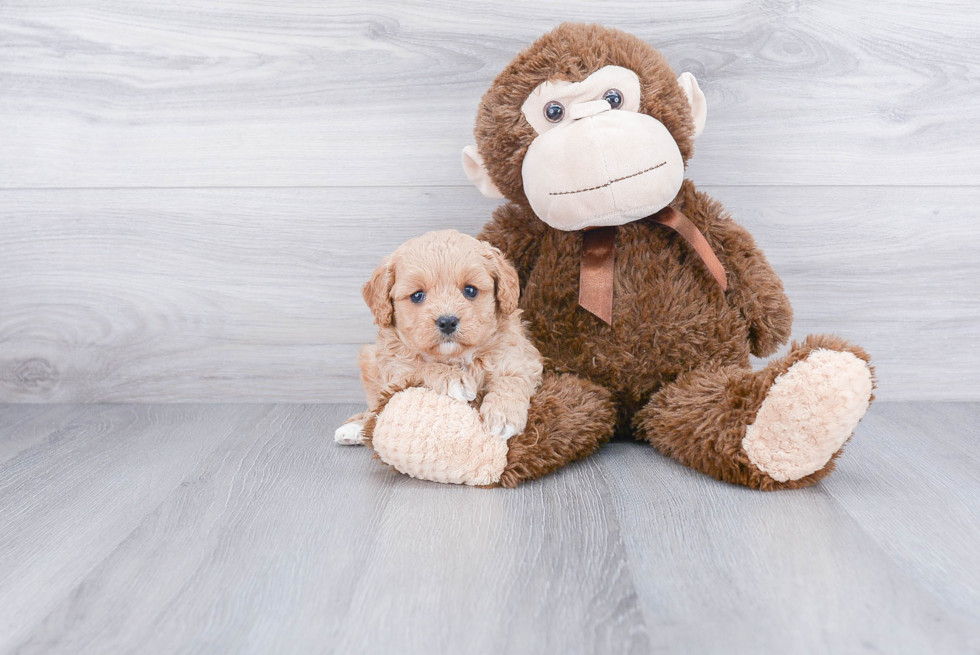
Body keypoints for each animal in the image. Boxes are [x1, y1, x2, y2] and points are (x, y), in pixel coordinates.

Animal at [332, 228, 544, 448]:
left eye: (470, 290)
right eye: (417, 296)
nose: (448, 322)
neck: (455, 357)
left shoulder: (521, 358)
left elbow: (512, 377)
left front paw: (504, 414)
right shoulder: (395, 371)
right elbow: (421, 368)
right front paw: (454, 378)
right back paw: (354, 428)